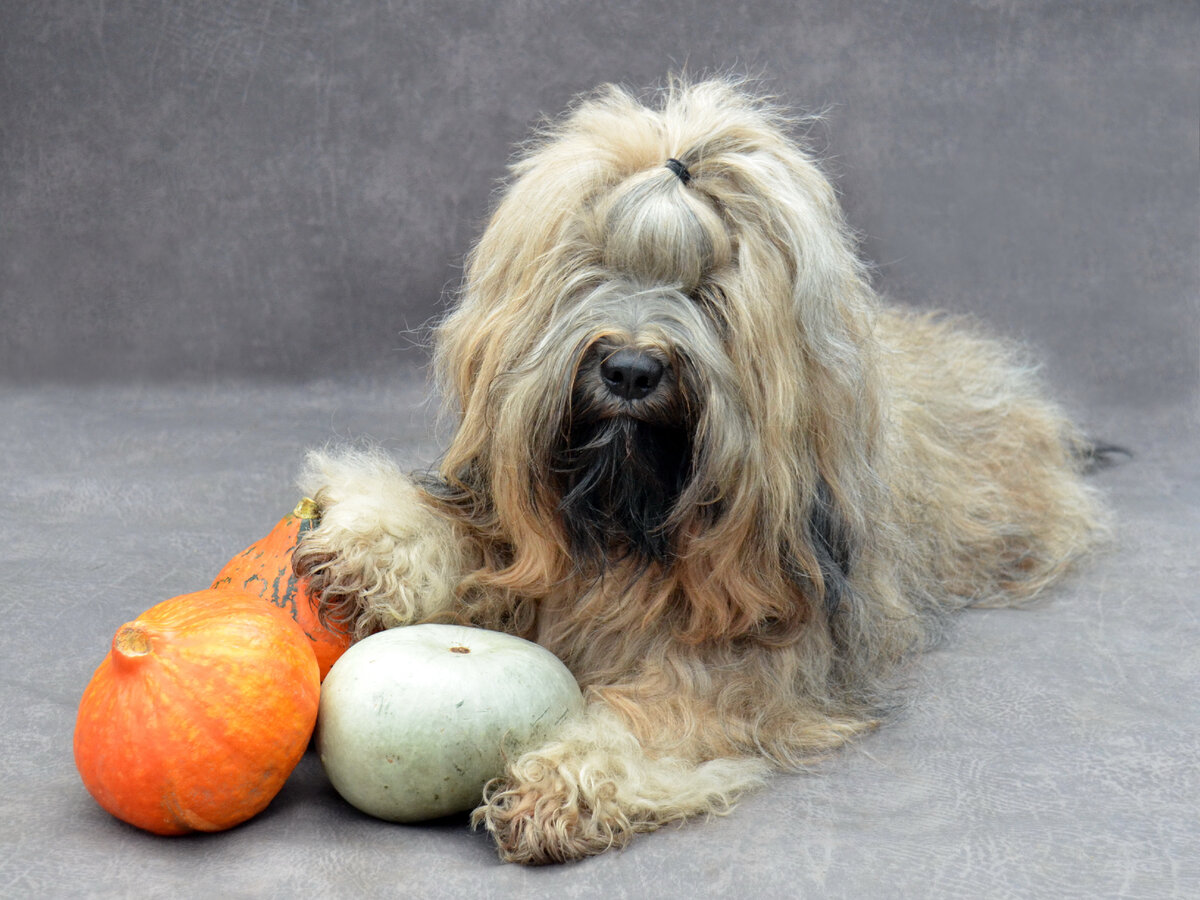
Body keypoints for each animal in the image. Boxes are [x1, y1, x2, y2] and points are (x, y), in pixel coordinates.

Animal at [295, 79, 1108, 868]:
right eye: (591, 268)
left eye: (710, 291)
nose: (629, 369)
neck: (629, 528)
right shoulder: (521, 530)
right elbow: (474, 538)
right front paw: (372, 546)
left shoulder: (756, 656)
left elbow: (671, 707)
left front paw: (566, 779)